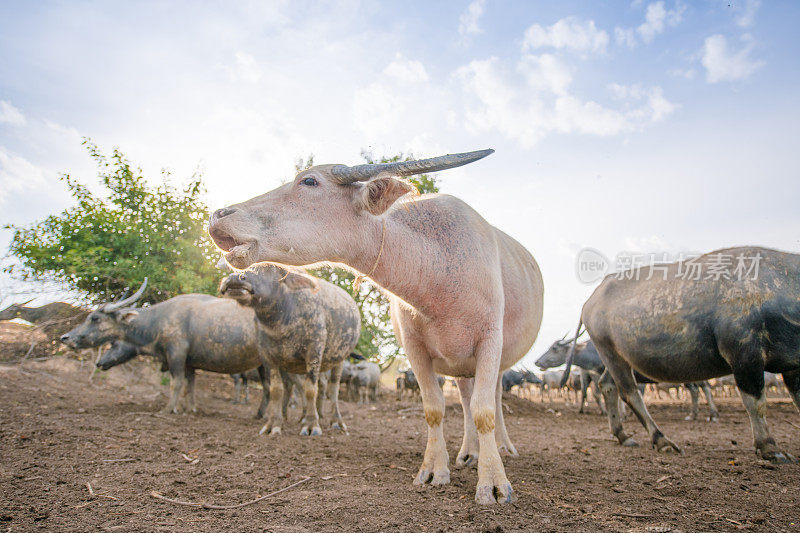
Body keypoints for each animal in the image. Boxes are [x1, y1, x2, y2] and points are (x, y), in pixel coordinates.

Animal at [217, 262, 358, 436]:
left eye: (271, 269)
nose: (234, 278)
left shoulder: (314, 352)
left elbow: (310, 389)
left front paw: (312, 425)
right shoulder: (267, 357)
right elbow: (276, 390)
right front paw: (273, 425)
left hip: (339, 359)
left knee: (332, 388)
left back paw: (335, 421)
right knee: (299, 386)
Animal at [564, 245, 800, 462]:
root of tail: (590, 300)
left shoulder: (792, 366)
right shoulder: (744, 354)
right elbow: (756, 404)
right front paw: (770, 448)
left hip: (617, 358)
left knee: (608, 385)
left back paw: (623, 435)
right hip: (609, 351)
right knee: (629, 392)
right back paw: (661, 440)